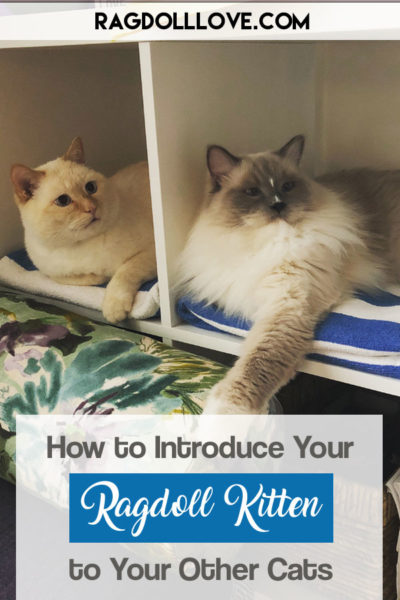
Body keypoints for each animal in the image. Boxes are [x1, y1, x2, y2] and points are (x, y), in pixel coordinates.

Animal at [10, 137, 155, 324]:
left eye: (91, 188)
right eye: (63, 201)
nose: (91, 208)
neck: (81, 244)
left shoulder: (151, 253)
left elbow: (123, 272)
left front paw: (113, 308)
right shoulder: (52, 274)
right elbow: (84, 278)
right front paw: (100, 277)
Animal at [179, 137, 400, 412]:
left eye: (287, 186)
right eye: (252, 192)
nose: (277, 204)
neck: (265, 241)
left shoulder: (288, 303)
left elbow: (255, 364)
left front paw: (222, 413)